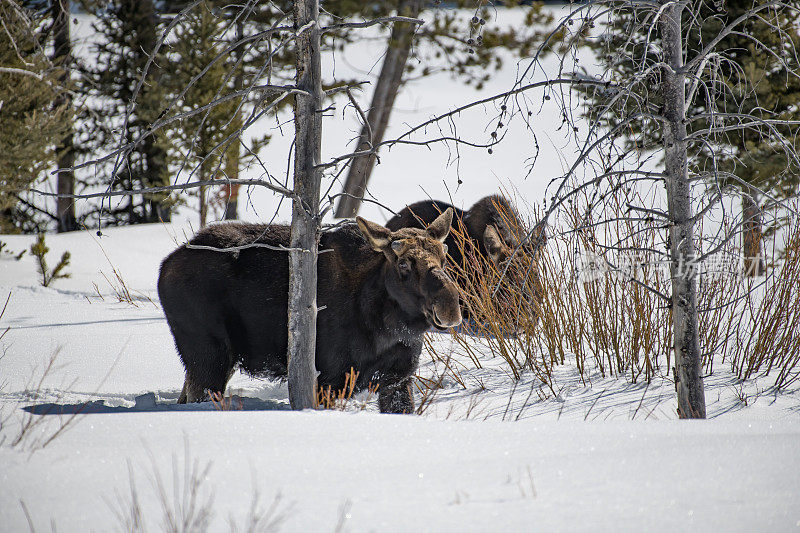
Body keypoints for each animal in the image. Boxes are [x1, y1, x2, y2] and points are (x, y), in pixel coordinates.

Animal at [156, 208, 460, 412]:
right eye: (403, 264)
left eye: (444, 258)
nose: (450, 306)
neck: (383, 326)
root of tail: (165, 266)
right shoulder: (328, 379)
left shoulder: (398, 377)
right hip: (209, 354)